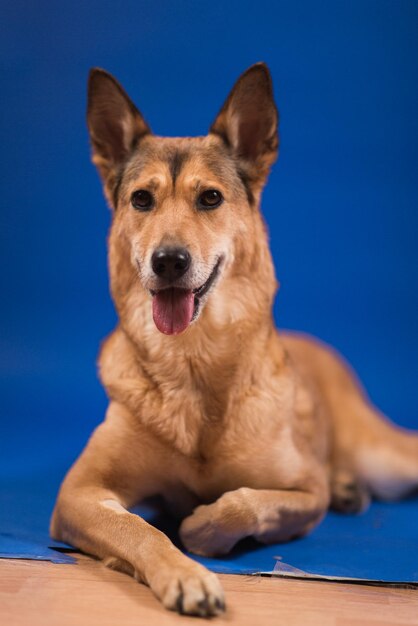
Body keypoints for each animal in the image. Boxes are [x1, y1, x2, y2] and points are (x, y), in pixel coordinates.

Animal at [50, 62, 418, 616]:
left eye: (210, 198)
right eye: (141, 199)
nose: (169, 261)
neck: (195, 362)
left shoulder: (305, 493)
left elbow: (246, 503)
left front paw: (202, 527)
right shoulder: (79, 492)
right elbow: (140, 530)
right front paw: (186, 575)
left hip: (385, 457)